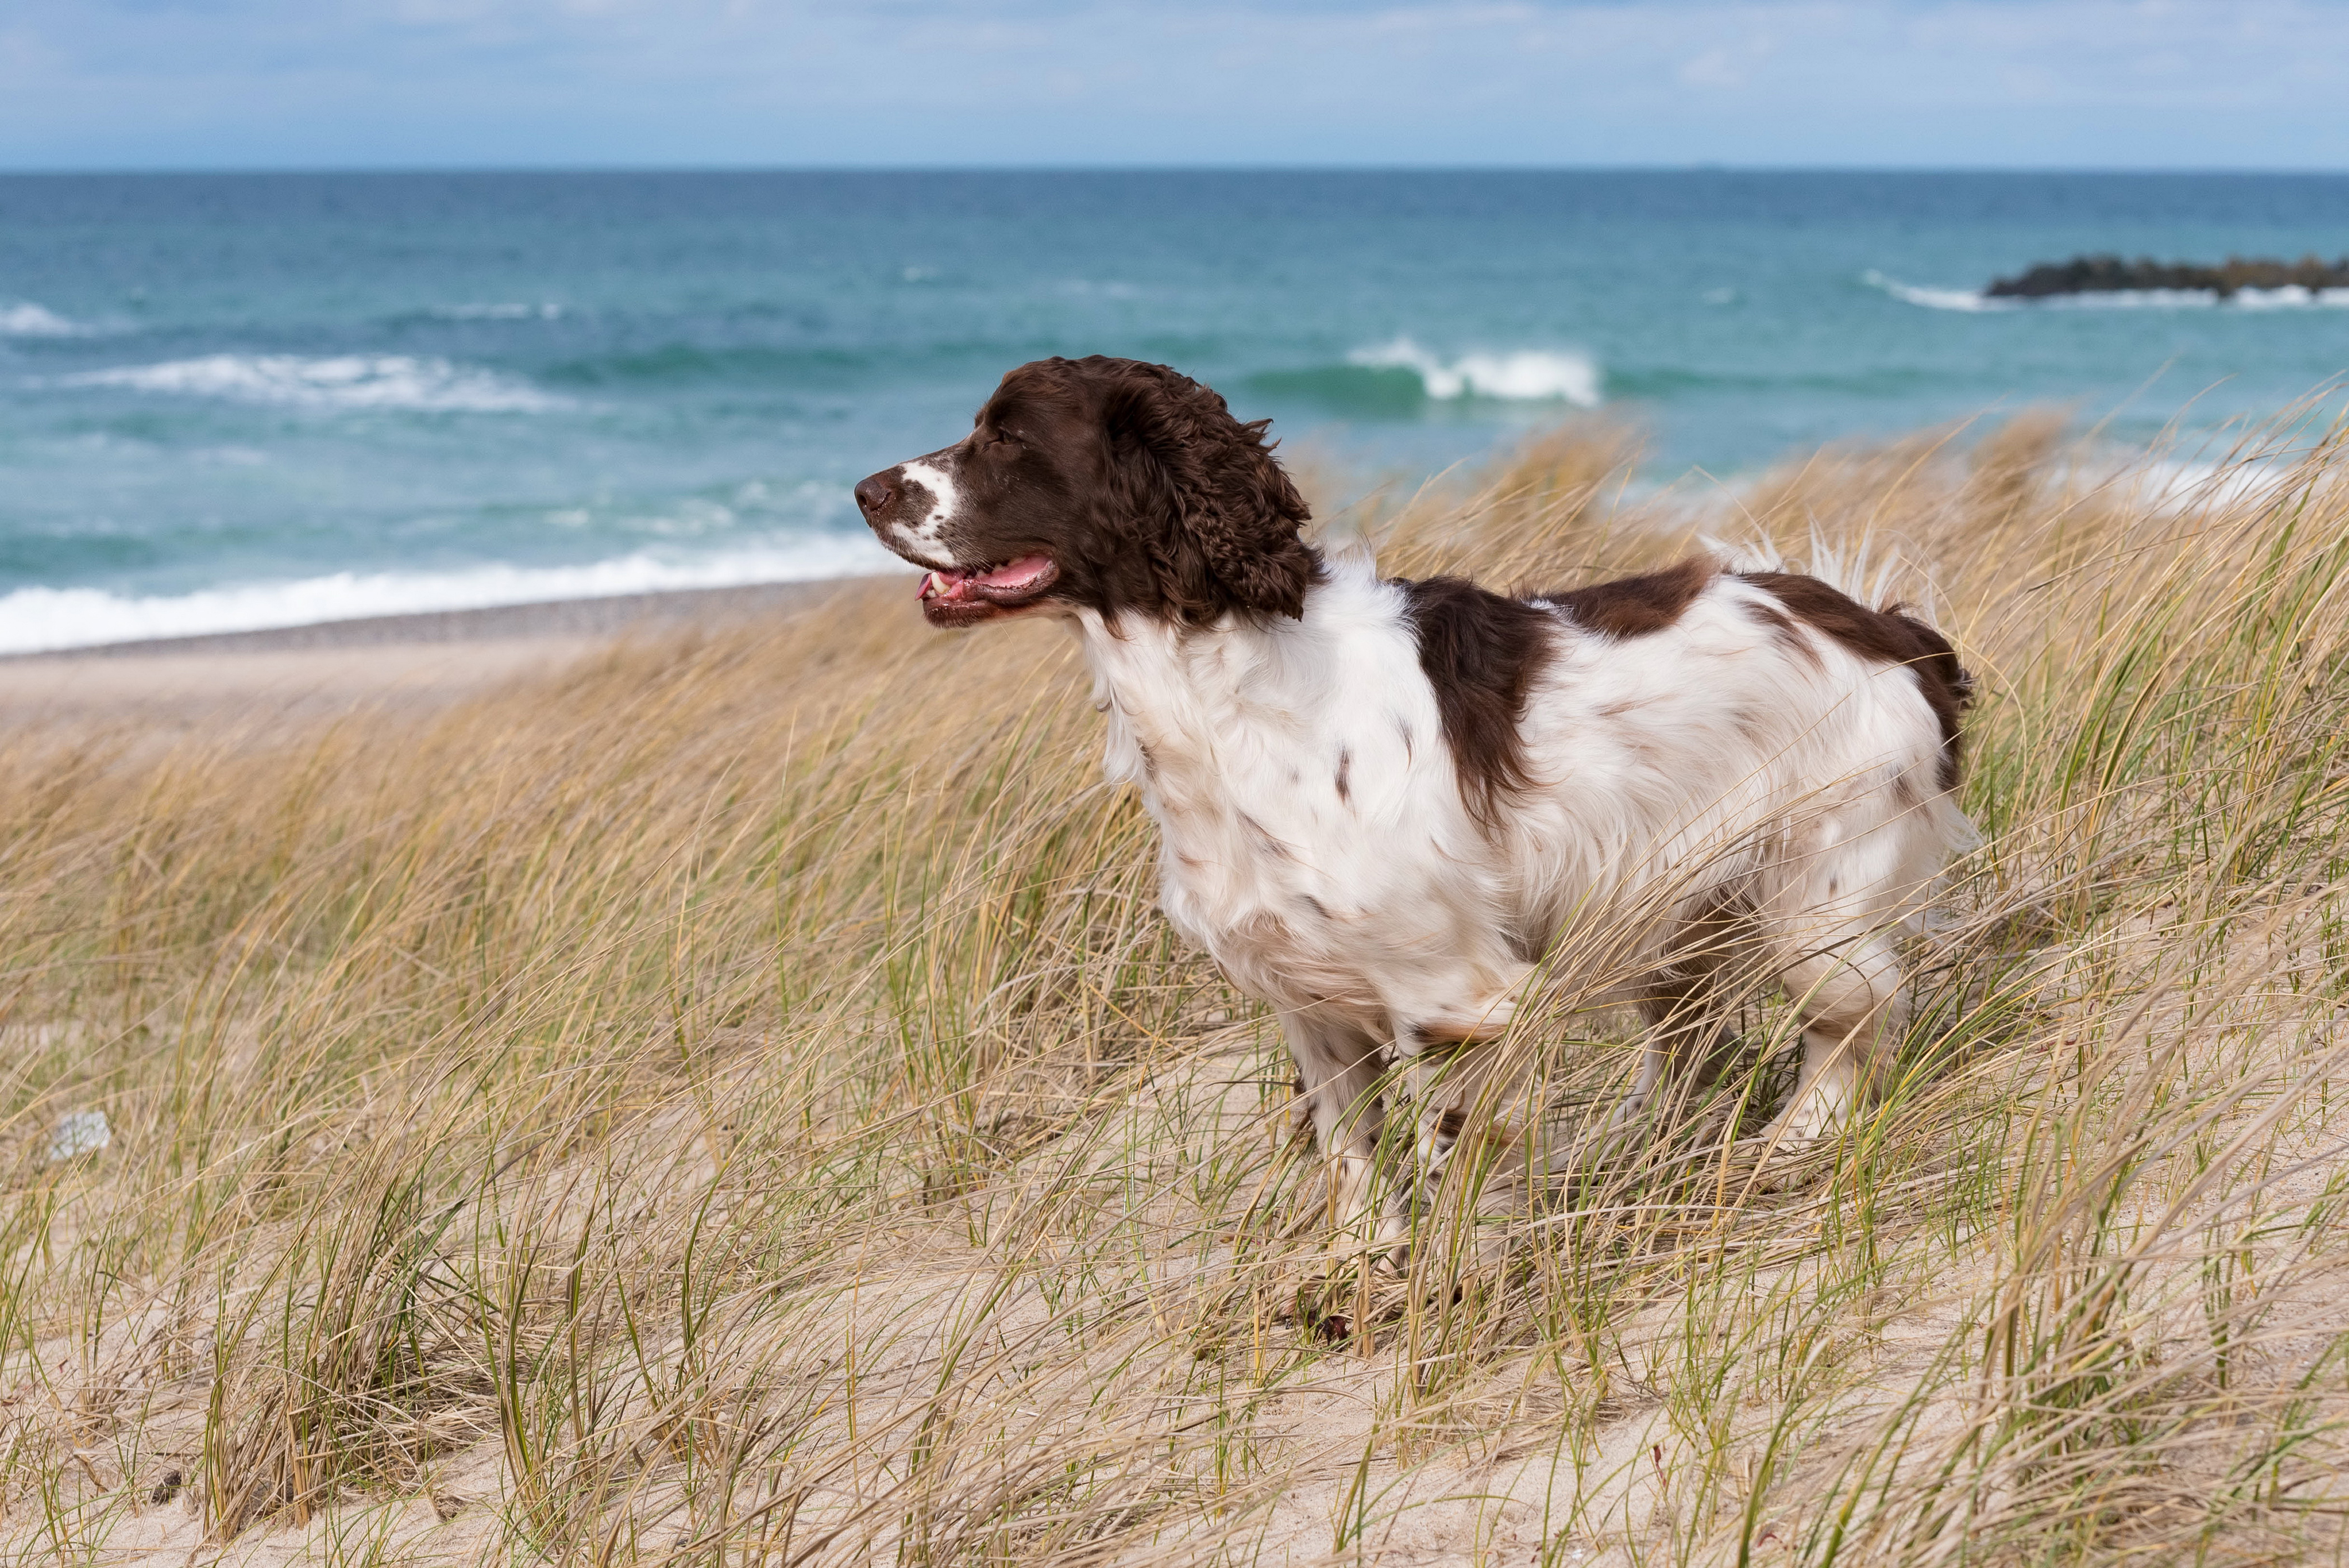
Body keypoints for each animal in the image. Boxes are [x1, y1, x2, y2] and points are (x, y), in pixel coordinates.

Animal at [855, 359, 1973, 1258]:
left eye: (1010, 435)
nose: (864, 489)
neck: (1221, 686)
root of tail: (1884, 626)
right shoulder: (1311, 1002)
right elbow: (1350, 1148)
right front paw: (1361, 1262)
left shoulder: (1459, 997)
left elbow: (1451, 1152)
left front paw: (1445, 1278)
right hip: (1667, 913)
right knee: (1692, 1040)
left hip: (1816, 911)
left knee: (1858, 1022)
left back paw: (1790, 1145)